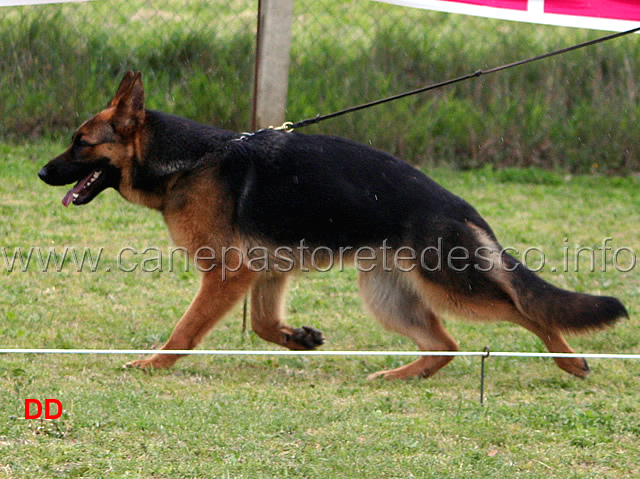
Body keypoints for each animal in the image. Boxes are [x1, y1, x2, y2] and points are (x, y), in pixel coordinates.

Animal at [37, 70, 628, 378]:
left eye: (80, 143)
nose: (41, 172)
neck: (190, 160)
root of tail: (457, 204)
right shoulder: (264, 273)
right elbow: (262, 324)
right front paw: (298, 337)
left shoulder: (227, 275)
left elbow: (186, 329)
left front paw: (153, 364)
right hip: (386, 295)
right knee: (445, 344)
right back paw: (397, 377)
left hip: (451, 286)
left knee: (523, 310)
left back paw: (570, 361)